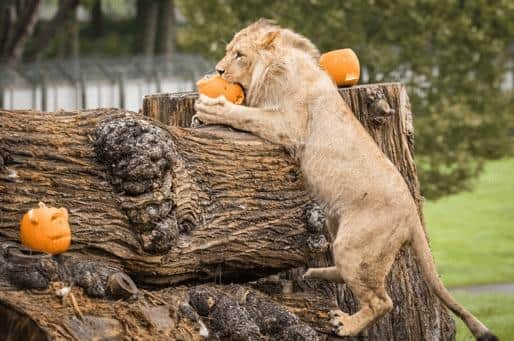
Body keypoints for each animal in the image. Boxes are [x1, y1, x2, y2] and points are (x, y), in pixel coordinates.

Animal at [193, 19, 496, 340]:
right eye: (228, 51)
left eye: (239, 55)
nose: (218, 70)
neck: (275, 68)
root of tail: (412, 211)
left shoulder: (287, 124)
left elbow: (246, 115)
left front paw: (210, 109)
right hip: (337, 228)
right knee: (349, 275)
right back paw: (313, 274)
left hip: (355, 245)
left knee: (382, 301)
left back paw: (344, 323)